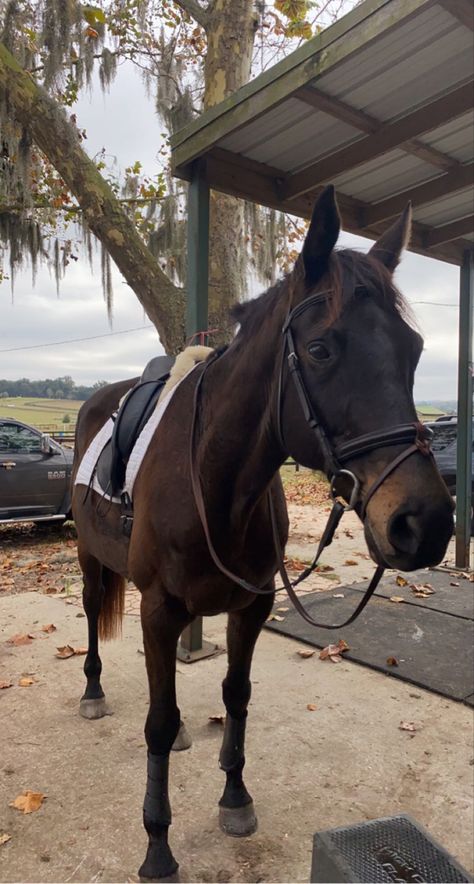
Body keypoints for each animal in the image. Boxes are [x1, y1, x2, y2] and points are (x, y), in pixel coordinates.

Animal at [72, 185, 454, 876]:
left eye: (412, 352)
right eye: (322, 349)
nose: (427, 523)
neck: (217, 483)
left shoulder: (251, 606)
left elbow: (236, 696)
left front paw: (235, 797)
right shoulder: (161, 608)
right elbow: (157, 722)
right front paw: (158, 844)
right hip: (93, 559)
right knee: (92, 615)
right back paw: (92, 691)